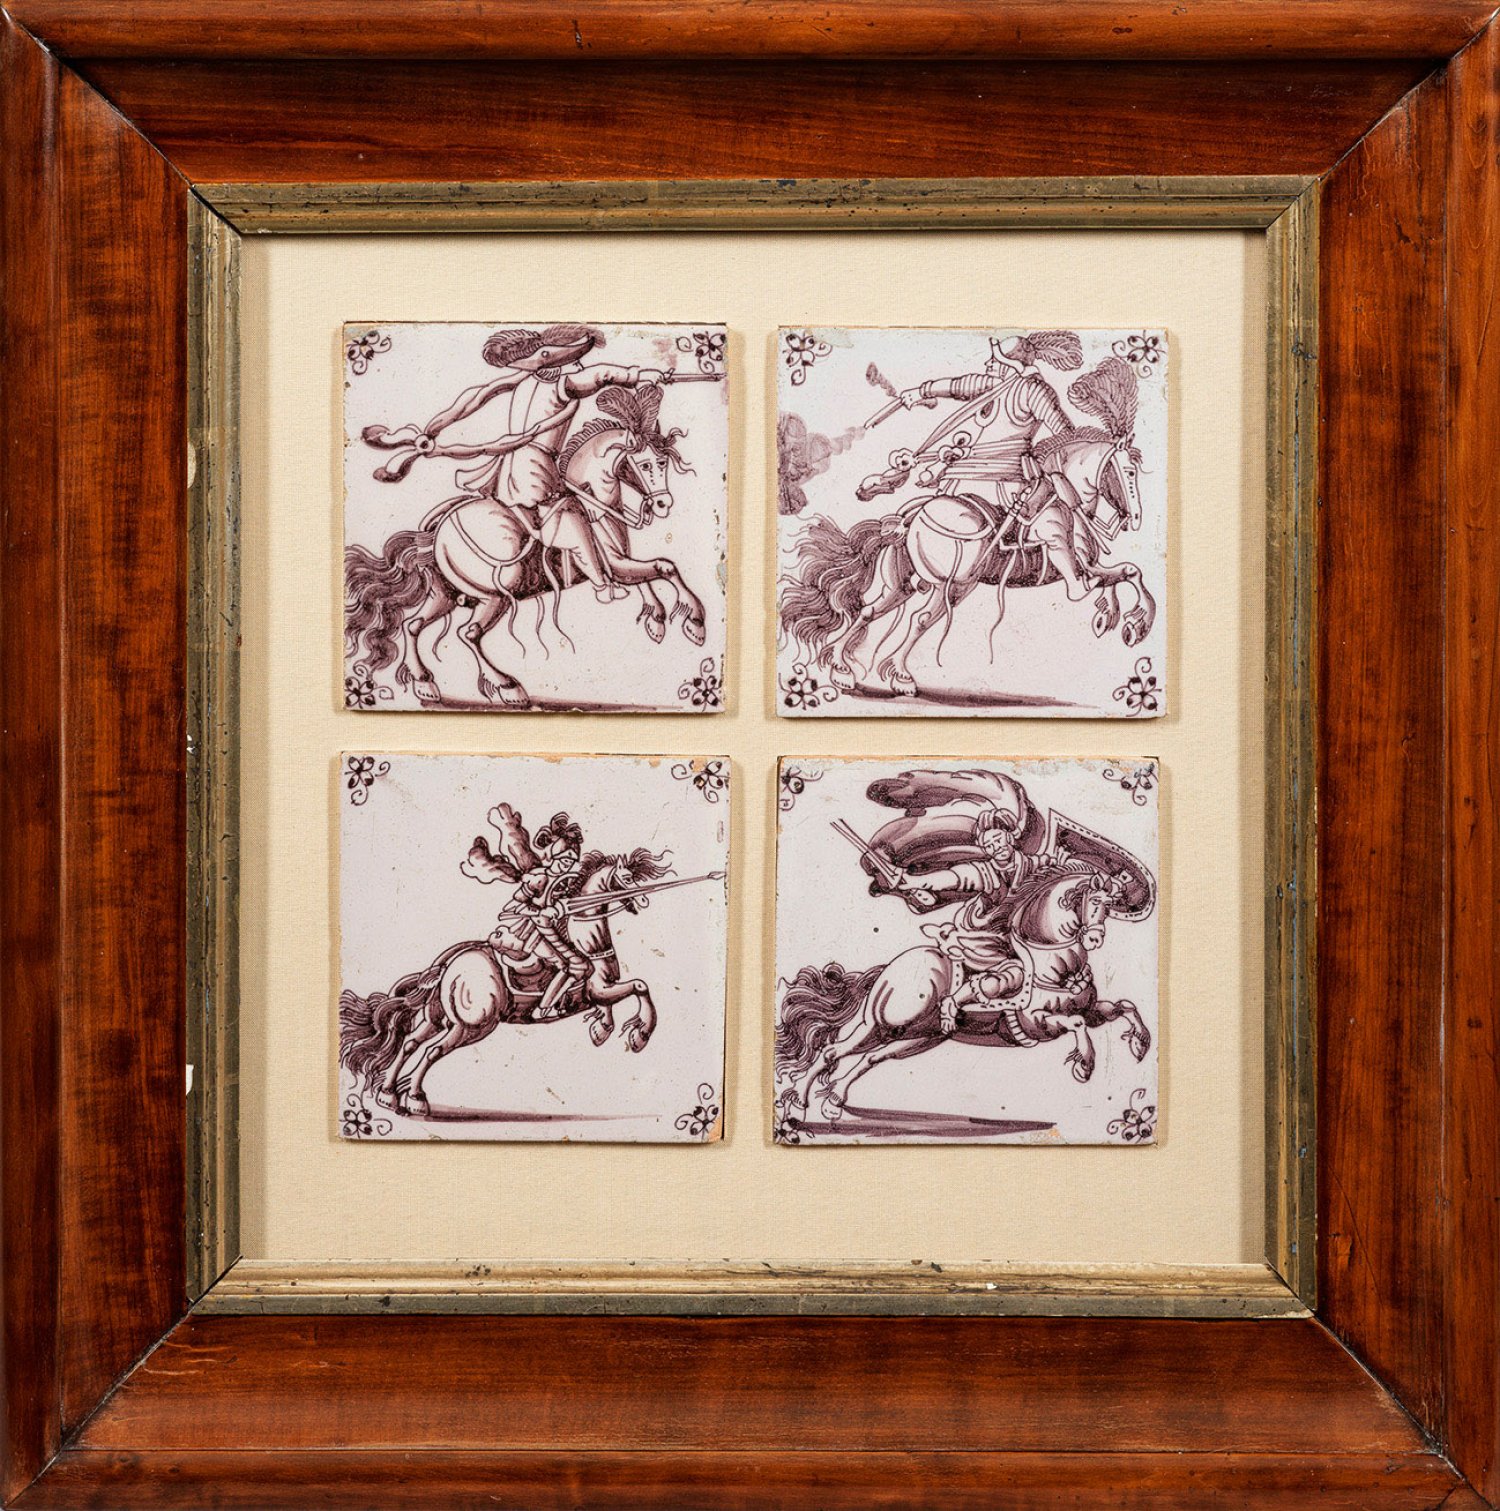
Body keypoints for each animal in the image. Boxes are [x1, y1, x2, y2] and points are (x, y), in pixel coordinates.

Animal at [339, 847, 671, 1119]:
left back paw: (388, 1095)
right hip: (472, 1026)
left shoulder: (596, 993)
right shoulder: (594, 985)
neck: (587, 940)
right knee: (432, 1051)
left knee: (409, 1043)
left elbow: (618, 999)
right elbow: (639, 986)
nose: (644, 898)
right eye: (626, 878)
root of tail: (450, 964)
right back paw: (417, 1101)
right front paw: (640, 1034)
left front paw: (602, 1028)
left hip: (437, 1019)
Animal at [344, 394, 707, 709]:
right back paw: (509, 687)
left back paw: (425, 683)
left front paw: (656, 619)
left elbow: (652, 575)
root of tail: (434, 533)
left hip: (444, 594)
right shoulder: (610, 566)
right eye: (644, 464)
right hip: (495, 597)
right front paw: (695, 623)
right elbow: (664, 567)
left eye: (663, 462)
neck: (595, 502)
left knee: (413, 626)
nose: (663, 504)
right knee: (469, 633)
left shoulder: (619, 562)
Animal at [774, 868, 1152, 1126]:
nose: (1094, 939)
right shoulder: (1039, 1022)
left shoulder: (1092, 1009)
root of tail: (891, 968)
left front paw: (1140, 1044)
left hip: (919, 1037)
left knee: (871, 1058)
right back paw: (799, 1105)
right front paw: (1085, 1064)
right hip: (881, 1023)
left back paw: (833, 1100)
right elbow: (1074, 1023)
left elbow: (1123, 1006)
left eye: (1110, 906)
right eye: (1095, 902)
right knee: (832, 1051)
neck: (1057, 966)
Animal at [780, 427, 1156, 700]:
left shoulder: (1088, 568)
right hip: (953, 585)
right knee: (919, 619)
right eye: (1128, 471)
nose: (1137, 518)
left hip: (905, 586)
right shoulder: (1076, 579)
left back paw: (843, 671)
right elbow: (1116, 577)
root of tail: (910, 517)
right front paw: (1131, 622)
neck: (1062, 498)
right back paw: (898, 678)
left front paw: (1115, 619)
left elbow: (1125, 575)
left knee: (872, 612)